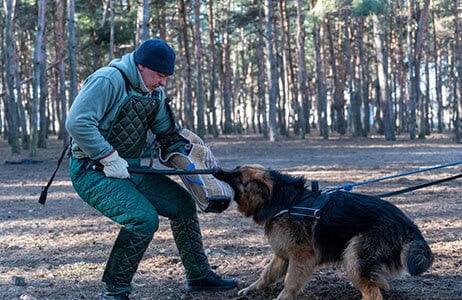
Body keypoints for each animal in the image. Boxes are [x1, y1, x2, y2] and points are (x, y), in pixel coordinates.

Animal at [214, 165, 434, 300]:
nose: (216, 170)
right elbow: (266, 275)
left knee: (373, 293)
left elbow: (290, 282)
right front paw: (251, 289)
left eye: (237, 176)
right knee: (378, 286)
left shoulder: (301, 257)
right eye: (235, 170)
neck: (284, 201)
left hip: (353, 257)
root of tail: (408, 225)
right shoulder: (282, 255)